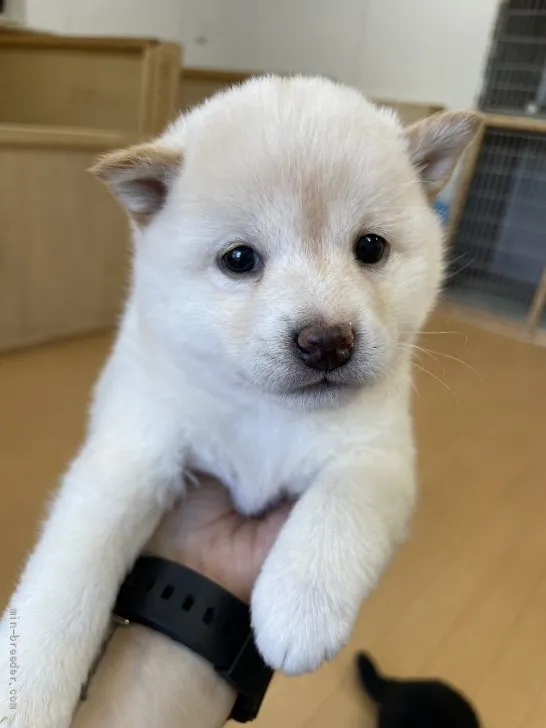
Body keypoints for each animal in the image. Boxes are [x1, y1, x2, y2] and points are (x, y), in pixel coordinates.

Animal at [0, 77, 476, 724]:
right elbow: (68, 577)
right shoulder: (134, 451)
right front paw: (26, 688)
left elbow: (339, 509)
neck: (262, 411)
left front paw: (300, 605)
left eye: (371, 248)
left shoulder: (378, 454)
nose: (327, 341)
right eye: (239, 259)